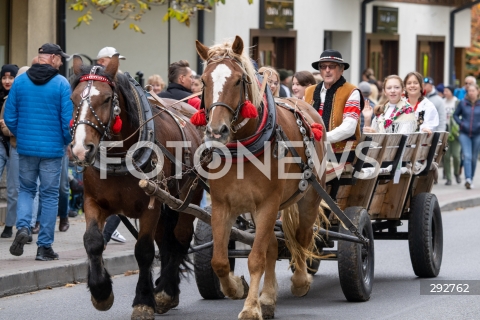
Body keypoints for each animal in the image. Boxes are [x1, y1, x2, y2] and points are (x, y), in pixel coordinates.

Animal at [70, 55, 202, 320]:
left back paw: (165, 292)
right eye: (73, 98)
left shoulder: (151, 205)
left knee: (180, 239)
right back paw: (165, 289)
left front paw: (143, 301)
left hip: (187, 199)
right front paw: (101, 291)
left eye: (107, 99)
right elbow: (93, 241)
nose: (80, 150)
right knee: (167, 242)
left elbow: (144, 251)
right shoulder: (93, 201)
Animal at [194, 36, 326, 318]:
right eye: (204, 81)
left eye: (237, 80)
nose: (217, 131)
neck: (243, 148)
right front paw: (236, 288)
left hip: (308, 196)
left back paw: (300, 280)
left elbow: (256, 259)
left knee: (302, 237)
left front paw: (250, 308)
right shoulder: (222, 205)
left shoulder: (268, 203)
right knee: (273, 247)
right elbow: (219, 260)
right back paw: (267, 295)